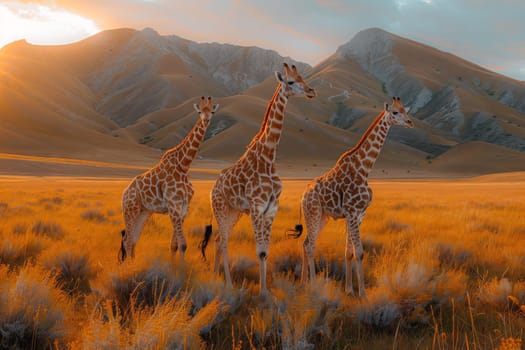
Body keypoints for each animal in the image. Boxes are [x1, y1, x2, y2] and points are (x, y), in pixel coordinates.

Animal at [117, 95, 218, 262]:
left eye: (212, 111)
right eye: (199, 112)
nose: (206, 120)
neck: (184, 166)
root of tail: (124, 193)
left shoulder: (183, 208)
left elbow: (174, 245)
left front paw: (174, 266)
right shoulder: (173, 206)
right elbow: (183, 245)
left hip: (144, 212)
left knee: (133, 240)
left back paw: (132, 264)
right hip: (130, 209)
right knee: (127, 240)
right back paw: (128, 266)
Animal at [200, 63, 316, 296]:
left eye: (303, 78)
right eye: (291, 81)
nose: (311, 91)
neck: (268, 155)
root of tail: (213, 188)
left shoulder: (271, 207)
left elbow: (265, 250)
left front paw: (266, 290)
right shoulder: (256, 206)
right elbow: (260, 251)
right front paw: (263, 293)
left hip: (234, 212)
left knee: (218, 239)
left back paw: (216, 276)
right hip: (220, 208)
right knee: (223, 241)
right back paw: (227, 284)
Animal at [294, 97, 414, 296]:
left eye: (406, 110)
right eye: (395, 112)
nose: (410, 122)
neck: (364, 169)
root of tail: (303, 195)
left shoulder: (359, 214)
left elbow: (348, 252)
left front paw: (350, 289)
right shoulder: (352, 212)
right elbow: (359, 252)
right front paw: (362, 293)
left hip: (323, 217)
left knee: (305, 243)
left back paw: (303, 283)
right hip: (314, 213)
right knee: (310, 246)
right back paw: (313, 285)